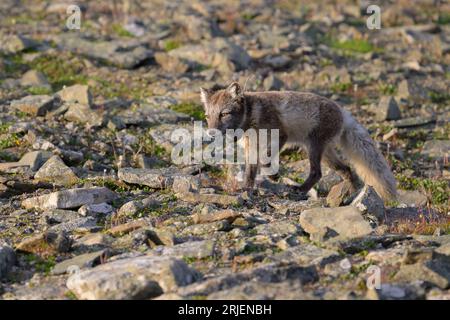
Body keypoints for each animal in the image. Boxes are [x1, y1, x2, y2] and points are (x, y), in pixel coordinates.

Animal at [200, 82, 398, 202]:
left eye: (224, 114)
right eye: (208, 116)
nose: (211, 133)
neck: (251, 116)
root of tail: (343, 112)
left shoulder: (281, 135)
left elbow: (266, 159)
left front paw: (273, 176)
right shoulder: (251, 149)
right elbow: (250, 173)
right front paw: (246, 190)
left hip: (313, 147)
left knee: (317, 173)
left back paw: (301, 189)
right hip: (325, 154)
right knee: (346, 169)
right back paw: (351, 193)